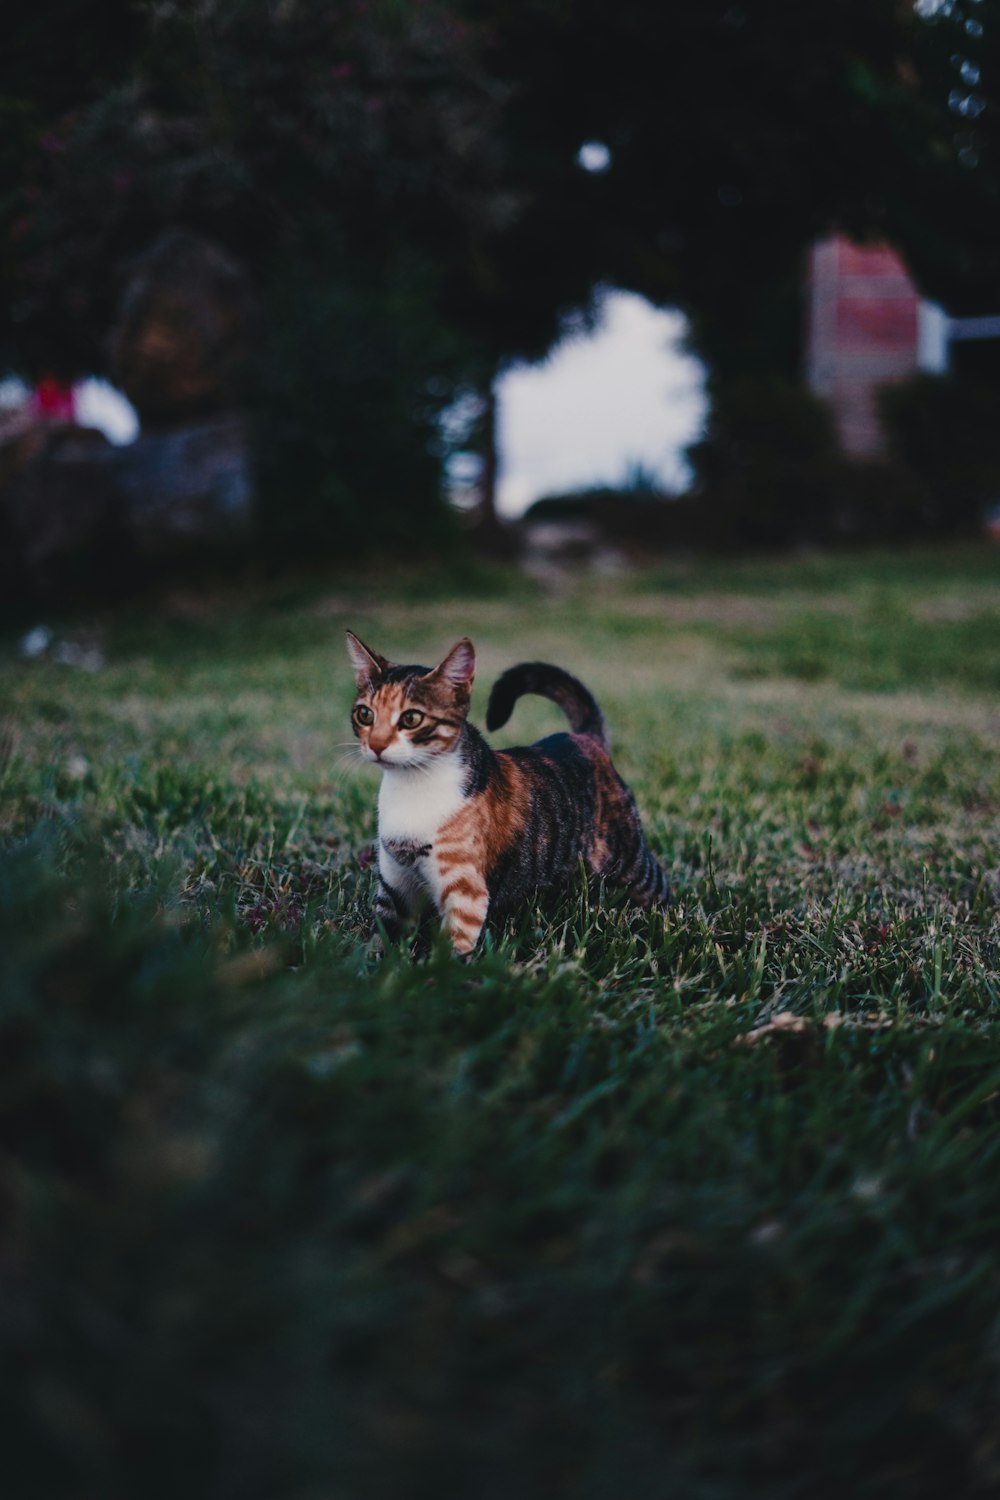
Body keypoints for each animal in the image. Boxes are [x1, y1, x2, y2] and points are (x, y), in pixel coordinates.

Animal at [346, 627, 671, 954]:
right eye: (365, 714)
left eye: (411, 718)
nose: (376, 745)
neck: (412, 787)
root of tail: (584, 739)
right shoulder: (395, 886)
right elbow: (381, 939)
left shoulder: (465, 893)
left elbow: (451, 952)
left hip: (629, 861)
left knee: (657, 883)